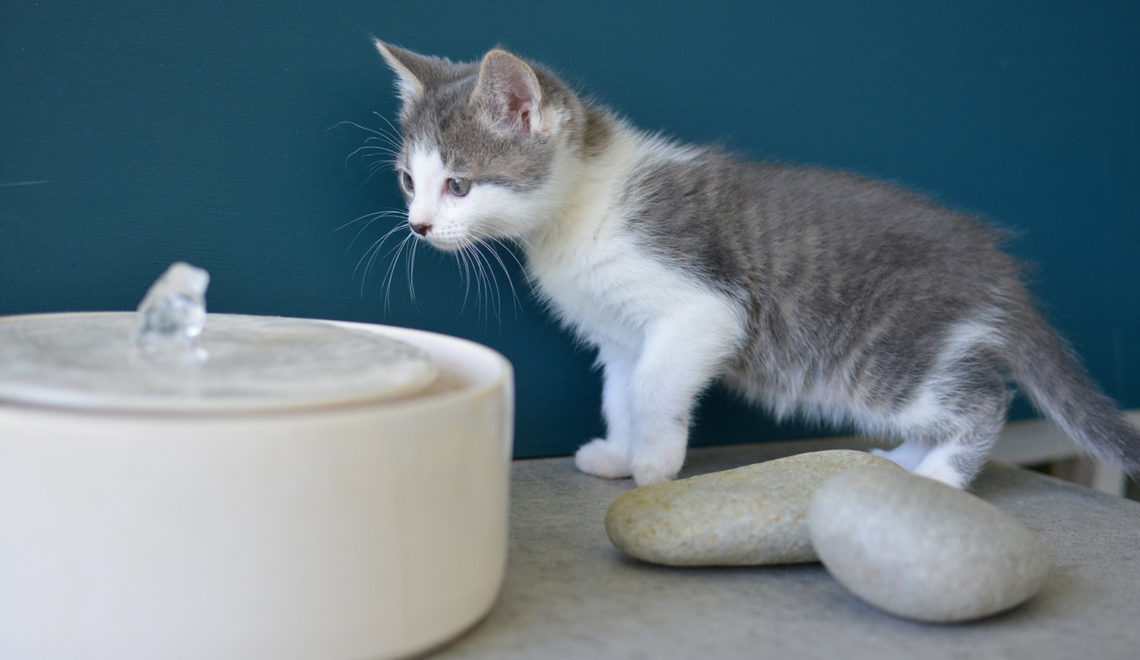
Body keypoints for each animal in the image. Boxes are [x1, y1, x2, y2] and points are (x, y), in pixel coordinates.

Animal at [369, 39, 1135, 485]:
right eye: (409, 180)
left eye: (459, 184)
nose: (419, 225)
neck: (581, 208)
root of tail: (992, 264)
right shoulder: (620, 333)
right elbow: (622, 390)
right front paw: (618, 452)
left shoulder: (701, 305)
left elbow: (656, 386)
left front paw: (655, 461)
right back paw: (903, 464)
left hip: (887, 354)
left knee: (980, 399)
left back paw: (939, 476)